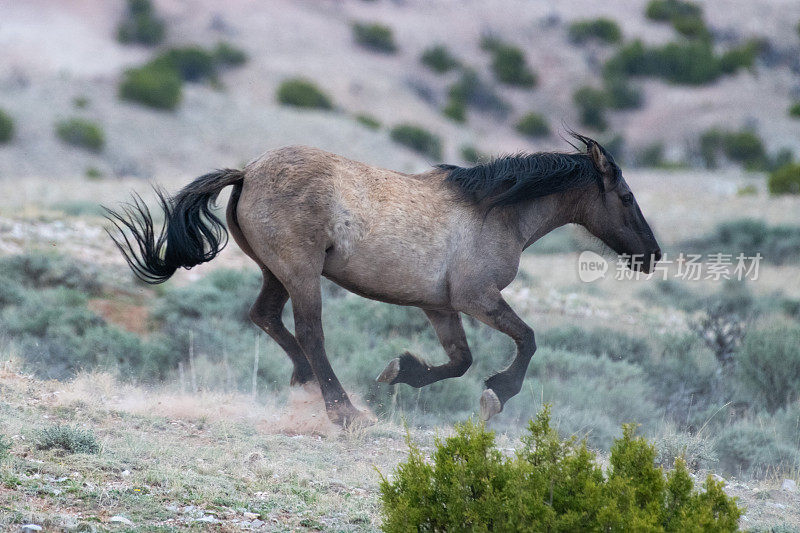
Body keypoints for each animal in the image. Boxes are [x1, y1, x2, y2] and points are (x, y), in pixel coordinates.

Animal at [104, 131, 664, 426]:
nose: (652, 256)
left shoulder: (441, 306)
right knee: (309, 331)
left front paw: (401, 371)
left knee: (266, 318)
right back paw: (342, 409)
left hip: (275, 272)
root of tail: (248, 172)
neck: (494, 211)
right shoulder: (478, 298)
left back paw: (306, 383)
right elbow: (526, 340)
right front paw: (496, 395)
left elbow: (459, 361)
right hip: (301, 272)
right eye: (627, 197)